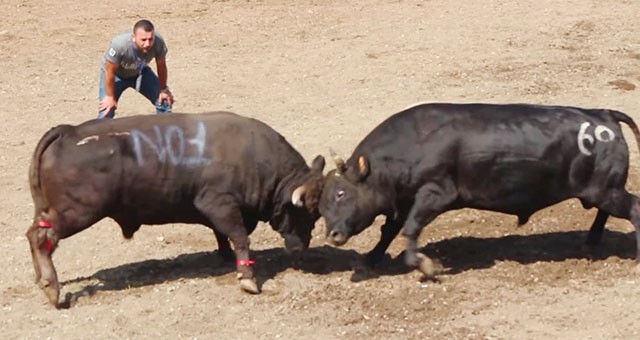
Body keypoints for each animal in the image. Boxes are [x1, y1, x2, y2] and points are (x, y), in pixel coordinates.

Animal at [26, 110, 324, 306]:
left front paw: (225, 256)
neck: (255, 157)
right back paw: (52, 288)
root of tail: (68, 132)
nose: (301, 248)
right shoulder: (219, 203)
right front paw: (247, 278)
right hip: (77, 212)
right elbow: (240, 237)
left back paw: (40, 278)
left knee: (33, 234)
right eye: (305, 211)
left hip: (51, 211)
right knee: (42, 238)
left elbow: (222, 235)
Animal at [322, 102, 640, 274]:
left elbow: (410, 229)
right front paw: (371, 258)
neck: (414, 142)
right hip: (603, 190)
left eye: (341, 193)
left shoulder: (435, 194)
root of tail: (605, 115)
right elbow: (389, 230)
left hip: (605, 190)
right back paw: (592, 239)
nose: (332, 235)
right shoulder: (404, 200)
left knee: (634, 208)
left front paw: (424, 265)